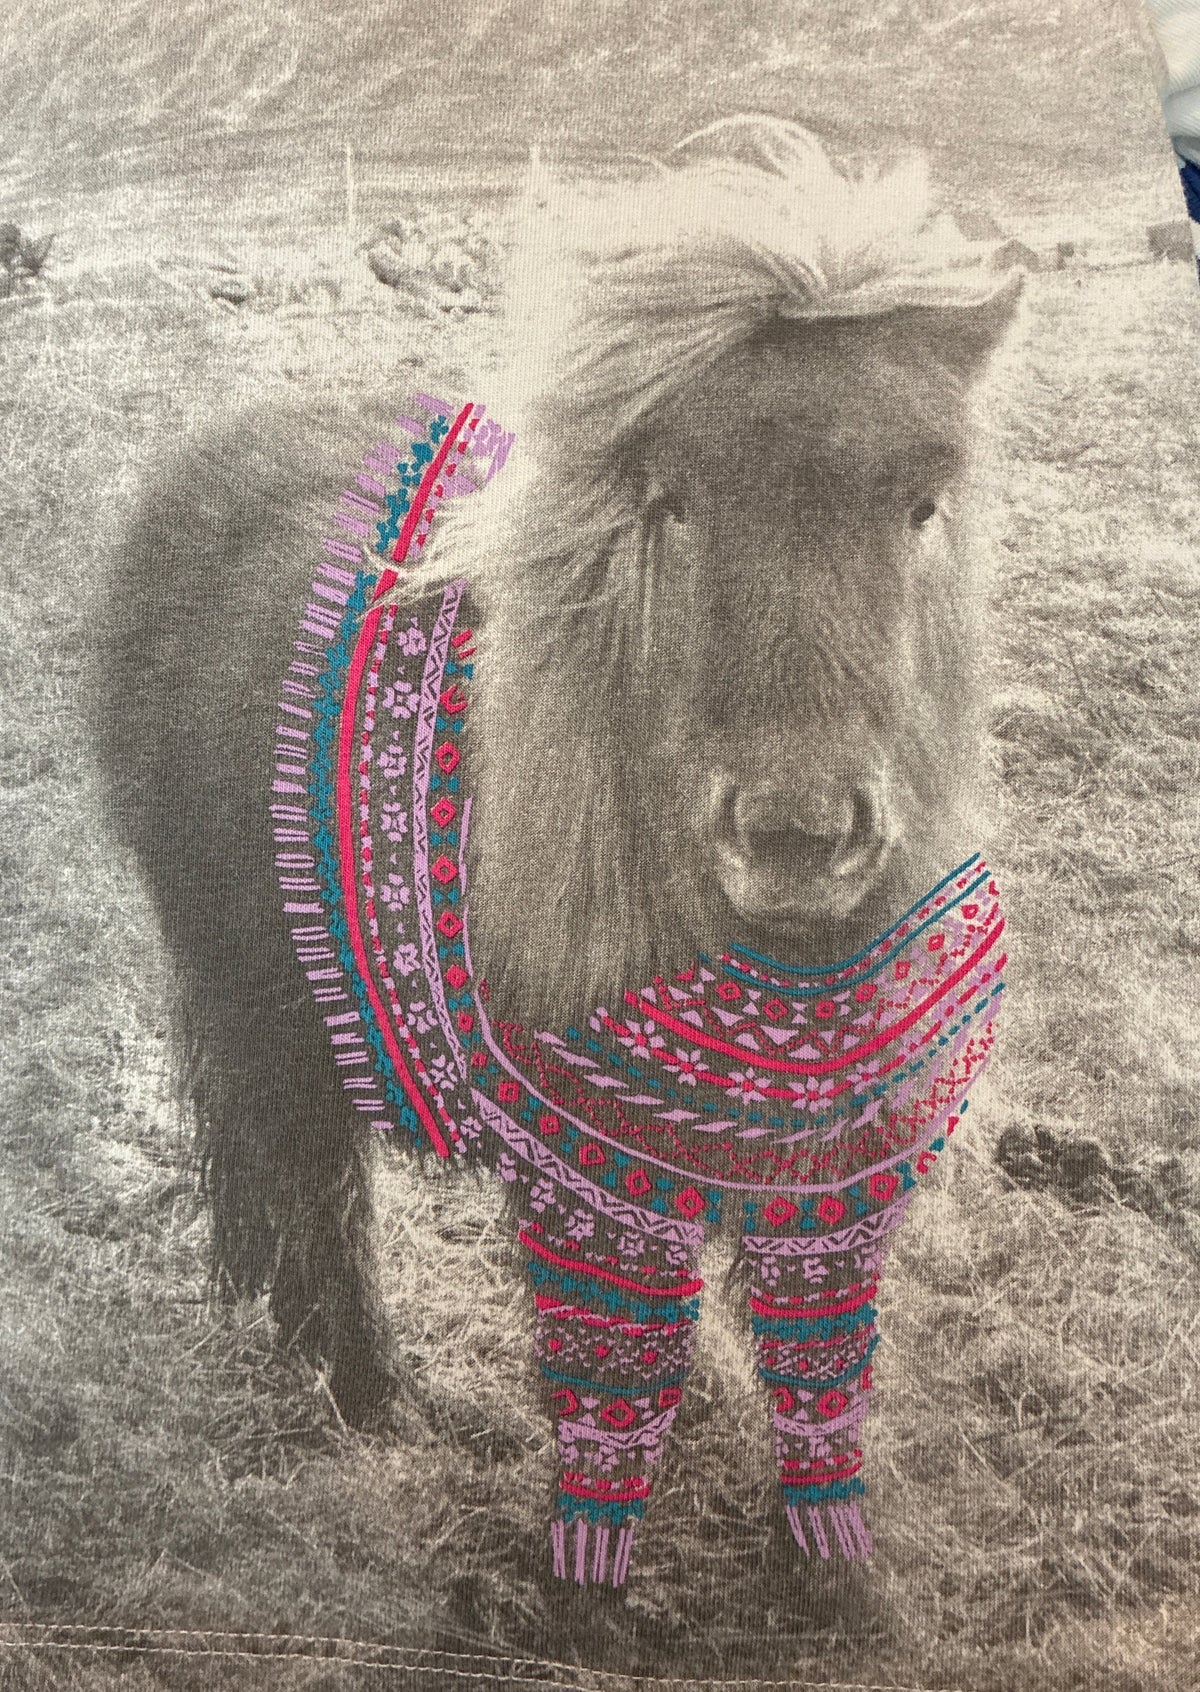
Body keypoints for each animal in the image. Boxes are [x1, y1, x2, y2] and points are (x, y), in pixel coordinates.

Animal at [93, 116, 1022, 1587]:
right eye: (673, 502)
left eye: (922, 502)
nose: (799, 839)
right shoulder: (592, 1196)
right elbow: (608, 1408)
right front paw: (587, 1588)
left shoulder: (816, 1188)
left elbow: (817, 1388)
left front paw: (836, 1570)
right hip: (254, 1002)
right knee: (313, 1194)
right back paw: (368, 1397)